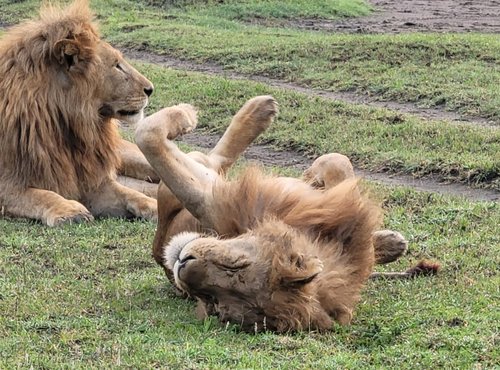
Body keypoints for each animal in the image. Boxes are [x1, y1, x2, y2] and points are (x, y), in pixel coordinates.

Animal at [0, 0, 159, 225]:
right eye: (117, 66)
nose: (150, 89)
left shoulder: (92, 181)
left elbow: (131, 194)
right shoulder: (8, 183)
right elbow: (39, 195)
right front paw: (69, 210)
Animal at [135, 95, 436, 332]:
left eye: (214, 303)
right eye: (237, 263)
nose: (182, 265)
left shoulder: (209, 198)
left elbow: (149, 136)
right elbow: (338, 165)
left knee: (212, 158)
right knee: (212, 157)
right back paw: (259, 108)